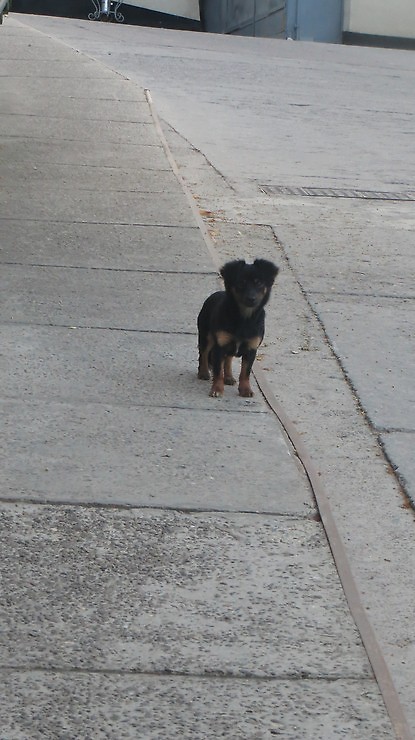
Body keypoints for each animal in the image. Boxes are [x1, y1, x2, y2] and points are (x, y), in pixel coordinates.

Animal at [197, 259, 279, 397]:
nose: (251, 298)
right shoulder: (219, 346)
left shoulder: (251, 349)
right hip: (206, 336)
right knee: (204, 352)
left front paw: (245, 389)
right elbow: (218, 371)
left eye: (259, 283)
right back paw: (203, 372)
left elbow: (245, 372)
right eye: (241, 283)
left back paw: (229, 377)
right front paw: (217, 389)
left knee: (228, 358)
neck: (244, 318)